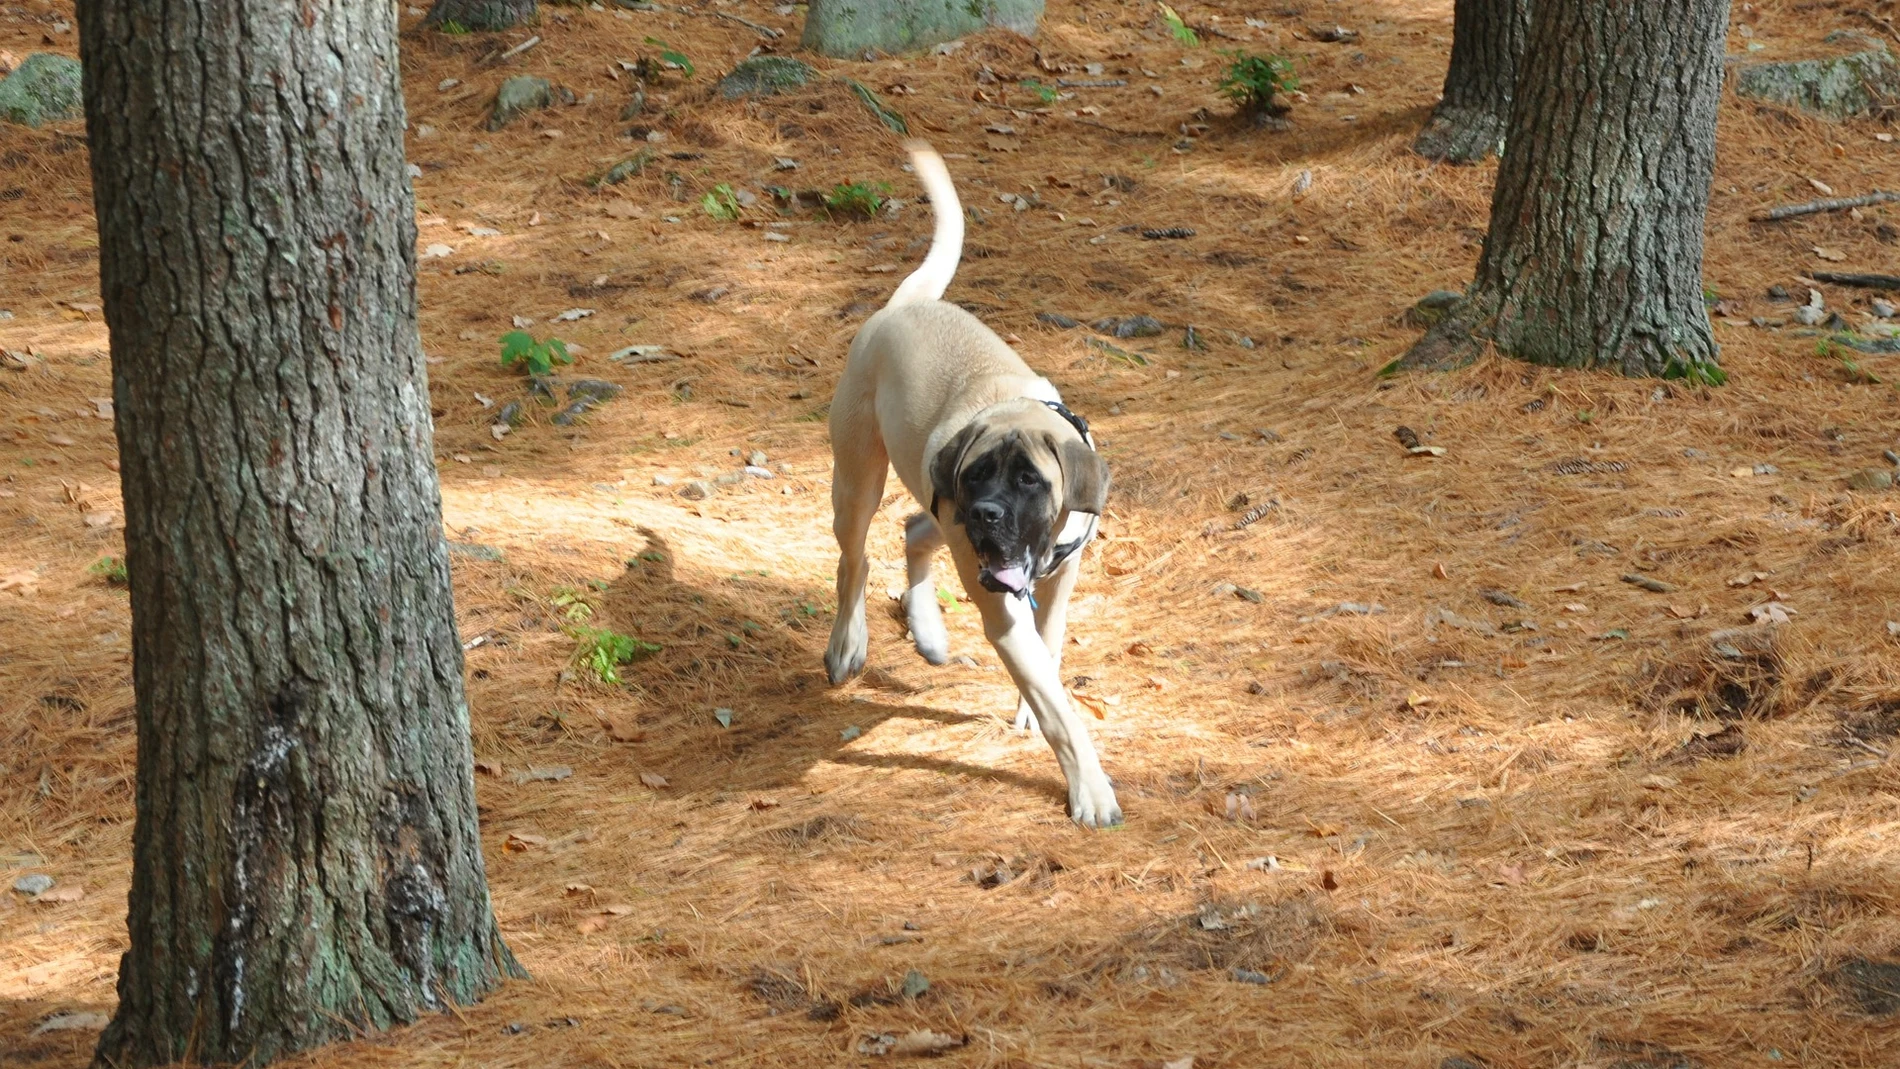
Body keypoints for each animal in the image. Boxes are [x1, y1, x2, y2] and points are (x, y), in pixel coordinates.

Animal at [824, 140, 1117, 827]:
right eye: (978, 473)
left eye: (1030, 480)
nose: (985, 512)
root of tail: (902, 306)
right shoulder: (1001, 603)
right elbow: (1063, 712)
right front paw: (1090, 789)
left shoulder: (1058, 578)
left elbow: (1050, 658)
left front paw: (1029, 709)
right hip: (860, 479)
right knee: (855, 560)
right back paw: (848, 643)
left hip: (939, 516)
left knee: (914, 530)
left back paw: (929, 631)